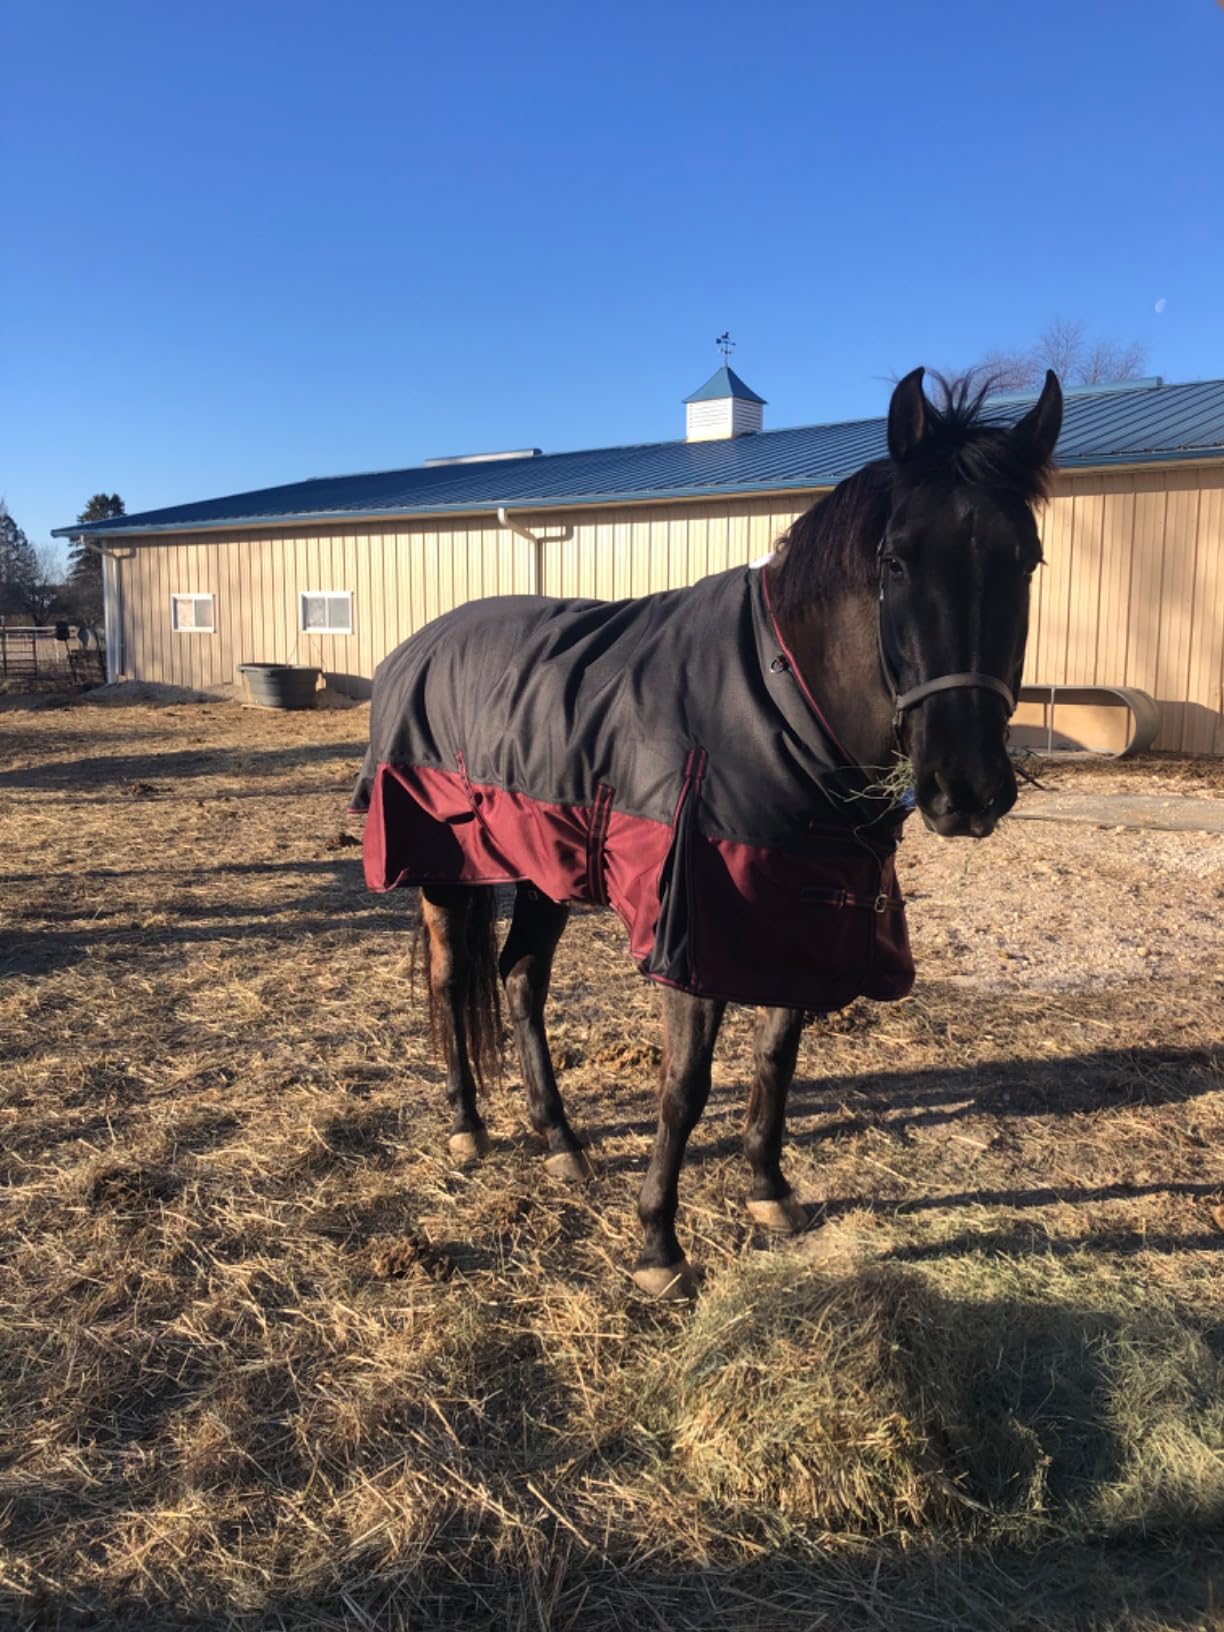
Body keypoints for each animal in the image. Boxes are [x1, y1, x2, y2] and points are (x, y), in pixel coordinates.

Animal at [350, 367, 1063, 1298]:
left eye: (1028, 558)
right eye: (897, 559)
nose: (966, 789)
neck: (779, 701)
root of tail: (415, 647)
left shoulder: (800, 915)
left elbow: (777, 1058)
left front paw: (769, 1189)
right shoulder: (692, 930)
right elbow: (685, 1085)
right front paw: (659, 1244)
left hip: (548, 869)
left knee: (520, 981)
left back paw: (559, 1140)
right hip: (445, 870)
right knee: (448, 983)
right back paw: (469, 1127)